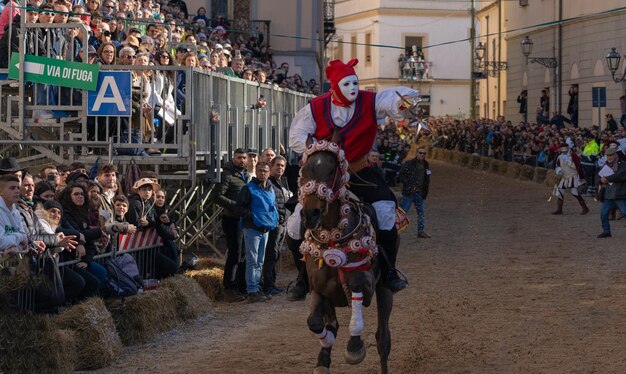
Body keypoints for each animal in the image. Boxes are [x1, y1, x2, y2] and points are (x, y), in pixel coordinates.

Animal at [296, 140, 390, 374]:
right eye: (304, 170)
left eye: (332, 171)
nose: (310, 214)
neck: (332, 237)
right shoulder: (318, 290)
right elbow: (315, 322)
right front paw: (324, 354)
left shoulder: (366, 284)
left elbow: (356, 303)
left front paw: (354, 348)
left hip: (385, 290)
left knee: (383, 339)